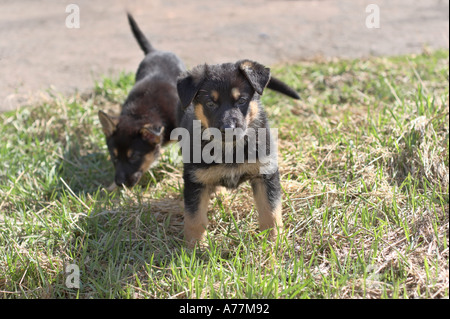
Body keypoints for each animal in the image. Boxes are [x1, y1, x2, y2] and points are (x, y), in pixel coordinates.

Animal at [176, 60, 298, 248]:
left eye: (241, 100)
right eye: (210, 103)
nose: (228, 129)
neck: (230, 148)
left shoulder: (266, 174)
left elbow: (270, 212)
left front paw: (273, 243)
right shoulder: (195, 180)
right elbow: (194, 219)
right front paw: (193, 248)